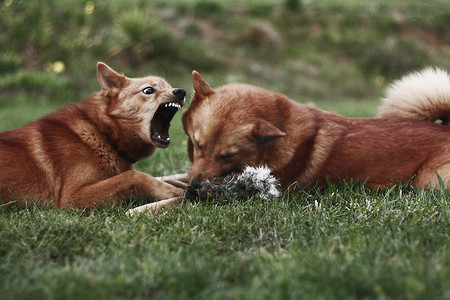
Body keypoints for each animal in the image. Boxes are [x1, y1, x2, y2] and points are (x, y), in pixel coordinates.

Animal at [0, 62, 186, 209]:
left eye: (169, 86)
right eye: (148, 90)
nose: (181, 91)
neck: (102, 133)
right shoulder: (71, 198)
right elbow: (133, 176)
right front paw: (171, 190)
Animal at [127, 68, 450, 214]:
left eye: (227, 156)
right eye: (196, 145)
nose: (196, 187)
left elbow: (177, 199)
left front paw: (141, 210)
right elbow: (170, 178)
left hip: (429, 180)